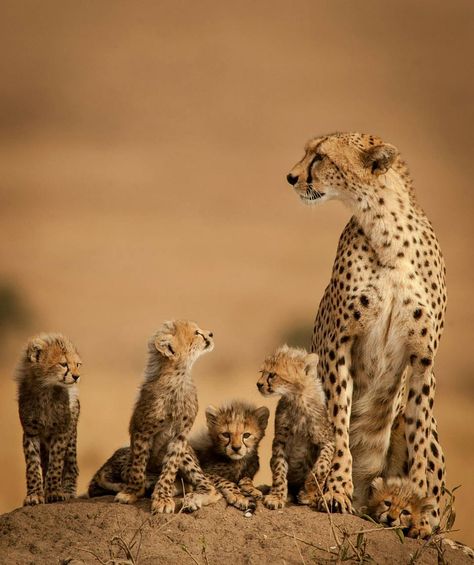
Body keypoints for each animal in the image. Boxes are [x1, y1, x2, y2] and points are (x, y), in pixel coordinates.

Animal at [286, 131, 446, 528]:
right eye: (308, 152)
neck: (386, 231)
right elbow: (338, 424)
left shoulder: (423, 360)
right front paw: (335, 491)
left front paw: (419, 514)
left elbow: (420, 441)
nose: (291, 177)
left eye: (320, 156)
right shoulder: (337, 346)